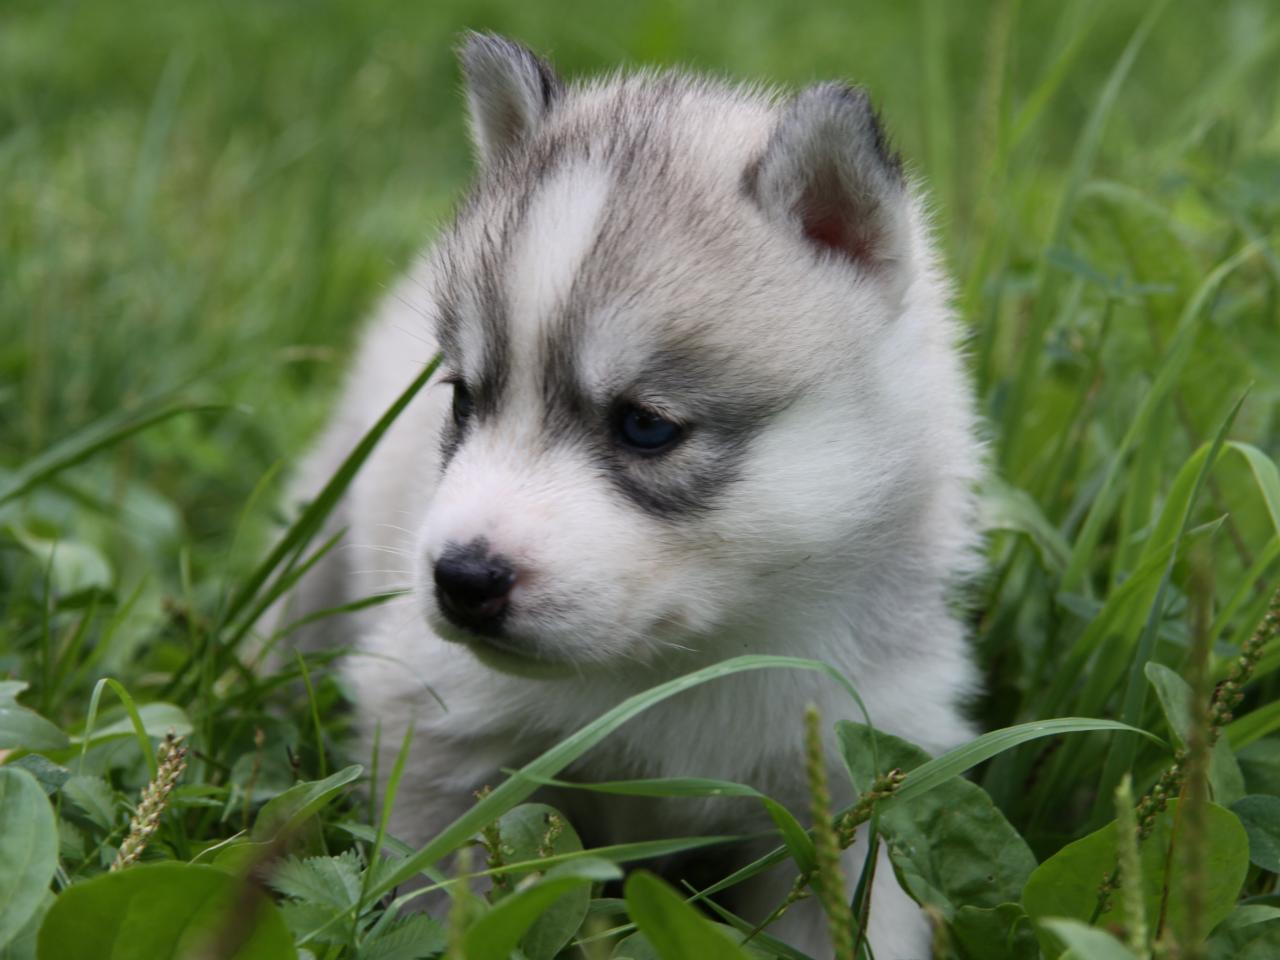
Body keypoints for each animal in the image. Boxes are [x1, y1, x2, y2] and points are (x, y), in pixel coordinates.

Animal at [288, 33, 977, 957]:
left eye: (646, 426)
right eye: (464, 398)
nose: (462, 579)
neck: (689, 661)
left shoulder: (856, 783)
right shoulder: (438, 731)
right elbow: (437, 896)